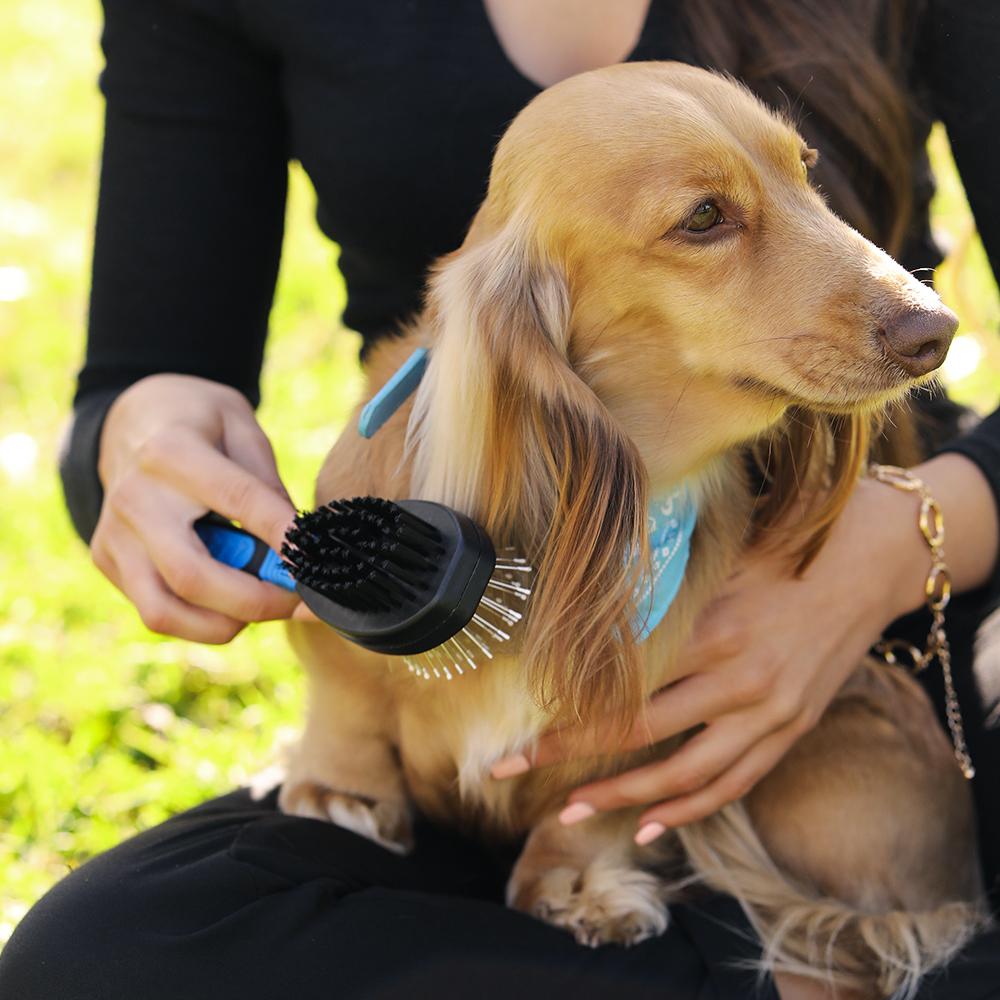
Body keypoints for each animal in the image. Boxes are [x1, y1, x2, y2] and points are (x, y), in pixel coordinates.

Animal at [280, 64, 984, 1000]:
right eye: (704, 217)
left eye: (804, 172)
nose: (937, 331)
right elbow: (347, 694)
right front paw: (339, 791)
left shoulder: (654, 735)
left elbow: (589, 816)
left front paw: (572, 892)